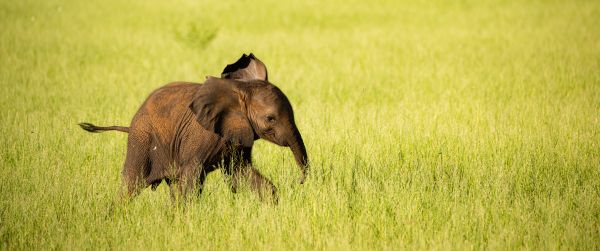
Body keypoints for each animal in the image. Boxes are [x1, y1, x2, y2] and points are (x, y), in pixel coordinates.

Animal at [79, 54, 310, 203]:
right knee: (131, 186)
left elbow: (241, 173)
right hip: (141, 139)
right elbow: (191, 179)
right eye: (270, 119)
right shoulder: (201, 136)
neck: (239, 91)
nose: (299, 182)